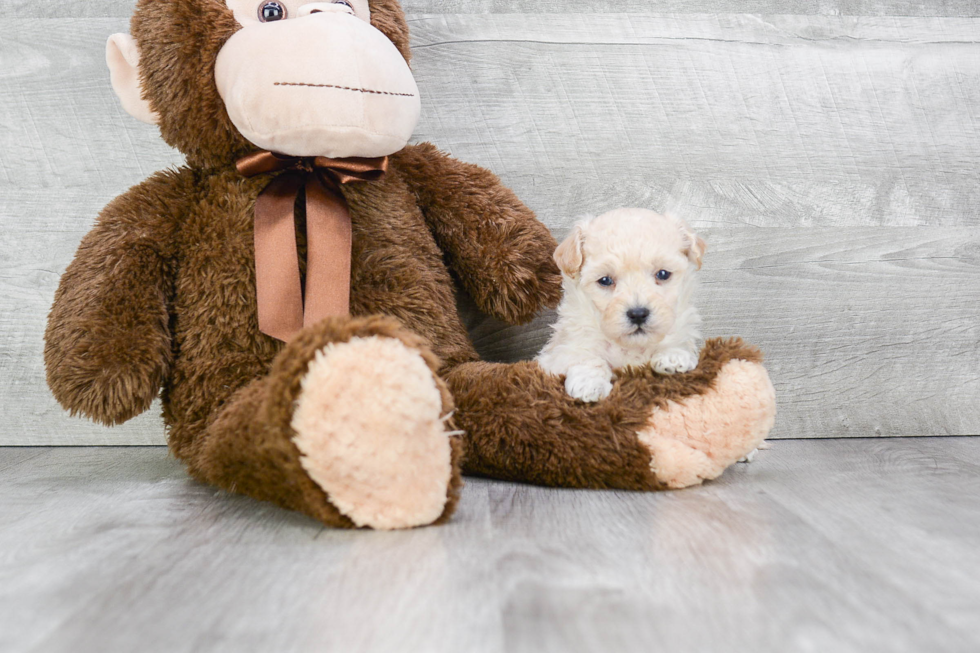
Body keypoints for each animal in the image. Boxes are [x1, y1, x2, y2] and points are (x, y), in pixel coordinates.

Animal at [536, 209, 704, 402]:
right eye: (605, 280)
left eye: (663, 274)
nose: (638, 314)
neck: (630, 346)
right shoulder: (557, 353)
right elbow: (585, 356)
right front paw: (589, 384)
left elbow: (676, 339)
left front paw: (673, 356)